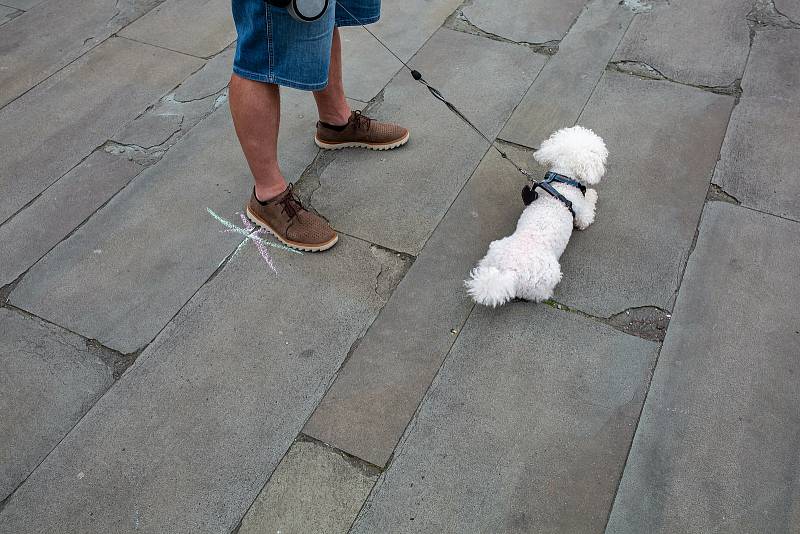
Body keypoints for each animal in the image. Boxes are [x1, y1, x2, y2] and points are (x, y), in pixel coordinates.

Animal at [462, 126, 608, 308]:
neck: (562, 180)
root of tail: (509, 272)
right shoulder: (582, 214)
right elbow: (587, 210)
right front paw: (592, 193)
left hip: (494, 252)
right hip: (549, 275)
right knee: (539, 294)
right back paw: (546, 294)